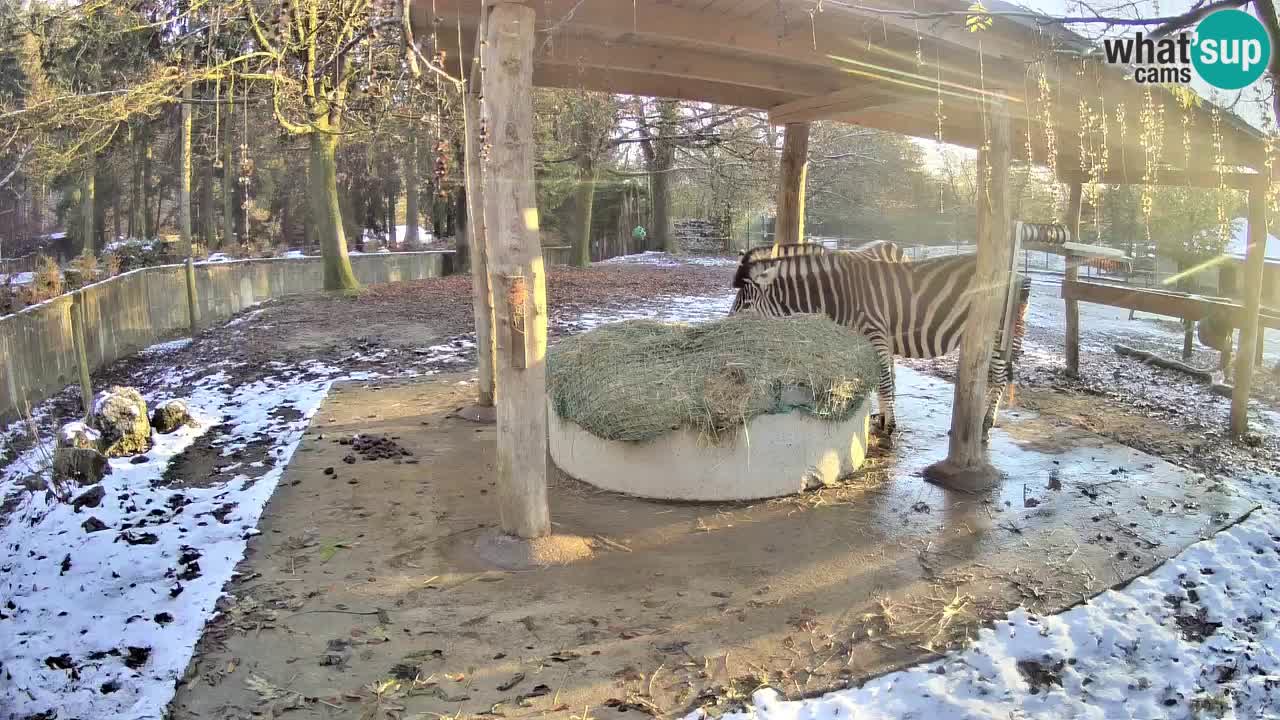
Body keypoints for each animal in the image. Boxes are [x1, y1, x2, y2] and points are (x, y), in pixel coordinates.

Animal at [732, 245, 1029, 440]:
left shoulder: (875, 332)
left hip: (999, 332)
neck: (839, 294)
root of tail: (1016, 274)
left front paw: (889, 426)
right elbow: (879, 379)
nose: (729, 327)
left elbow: (884, 380)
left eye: (744, 304)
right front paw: (881, 418)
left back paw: (986, 424)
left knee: (999, 378)